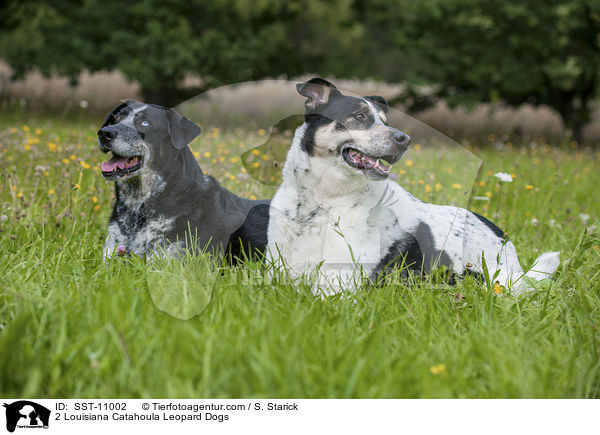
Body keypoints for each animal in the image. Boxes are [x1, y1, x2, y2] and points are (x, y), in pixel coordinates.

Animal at [268, 78, 556, 296]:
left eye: (385, 121)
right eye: (359, 116)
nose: (404, 139)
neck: (318, 204)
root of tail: (504, 239)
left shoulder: (337, 288)